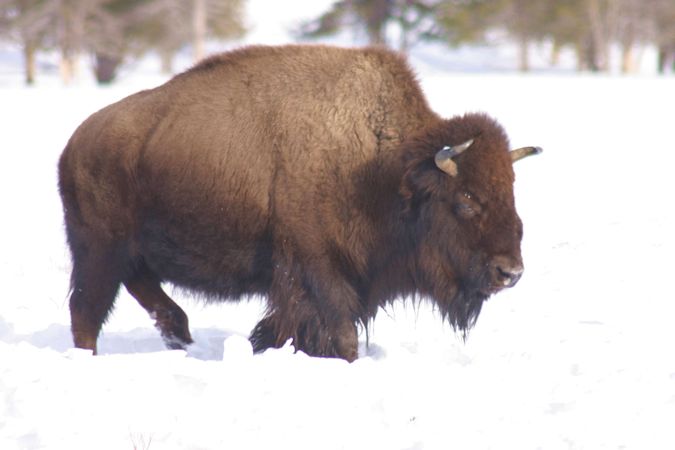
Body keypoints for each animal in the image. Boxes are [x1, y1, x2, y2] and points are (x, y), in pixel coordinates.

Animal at [60, 44, 540, 362]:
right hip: (98, 252)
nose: (511, 272)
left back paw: (180, 340)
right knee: (87, 311)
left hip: (132, 255)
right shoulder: (314, 269)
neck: (384, 167)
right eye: (467, 197)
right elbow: (340, 335)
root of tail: (76, 143)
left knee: (153, 301)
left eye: (510, 190)